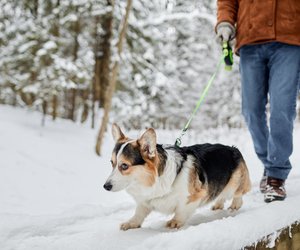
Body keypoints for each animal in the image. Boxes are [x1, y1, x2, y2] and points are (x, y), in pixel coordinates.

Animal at [103, 123, 251, 230]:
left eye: (124, 166)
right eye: (112, 163)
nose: (105, 186)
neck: (154, 180)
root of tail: (233, 148)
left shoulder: (194, 197)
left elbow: (181, 211)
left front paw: (174, 222)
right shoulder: (145, 201)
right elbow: (139, 213)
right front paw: (131, 223)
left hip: (234, 184)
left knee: (238, 194)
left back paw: (234, 205)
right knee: (220, 194)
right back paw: (218, 205)